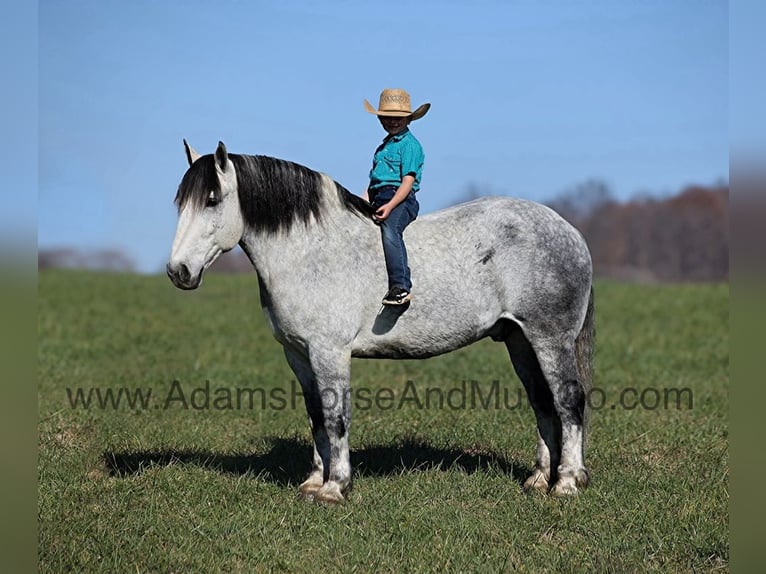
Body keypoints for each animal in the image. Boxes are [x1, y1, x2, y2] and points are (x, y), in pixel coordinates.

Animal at [167, 140, 595, 504]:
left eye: (211, 200)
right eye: (180, 202)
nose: (178, 271)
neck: (310, 251)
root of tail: (570, 231)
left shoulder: (330, 352)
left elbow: (336, 417)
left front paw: (335, 488)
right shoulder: (299, 355)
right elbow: (316, 416)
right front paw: (313, 482)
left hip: (550, 339)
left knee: (568, 401)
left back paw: (567, 482)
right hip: (521, 341)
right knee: (543, 403)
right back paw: (539, 479)